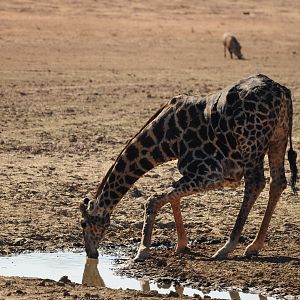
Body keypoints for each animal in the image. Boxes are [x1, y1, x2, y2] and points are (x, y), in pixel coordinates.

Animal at [79, 74, 298, 260]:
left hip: (251, 144)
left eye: (83, 223)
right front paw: (181, 245)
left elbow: (154, 199)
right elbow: (168, 197)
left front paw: (142, 251)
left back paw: (227, 247)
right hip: (278, 137)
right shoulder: (200, 174)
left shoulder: (210, 173)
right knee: (277, 182)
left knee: (255, 183)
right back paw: (254, 246)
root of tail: (281, 91)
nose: (91, 253)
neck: (166, 139)